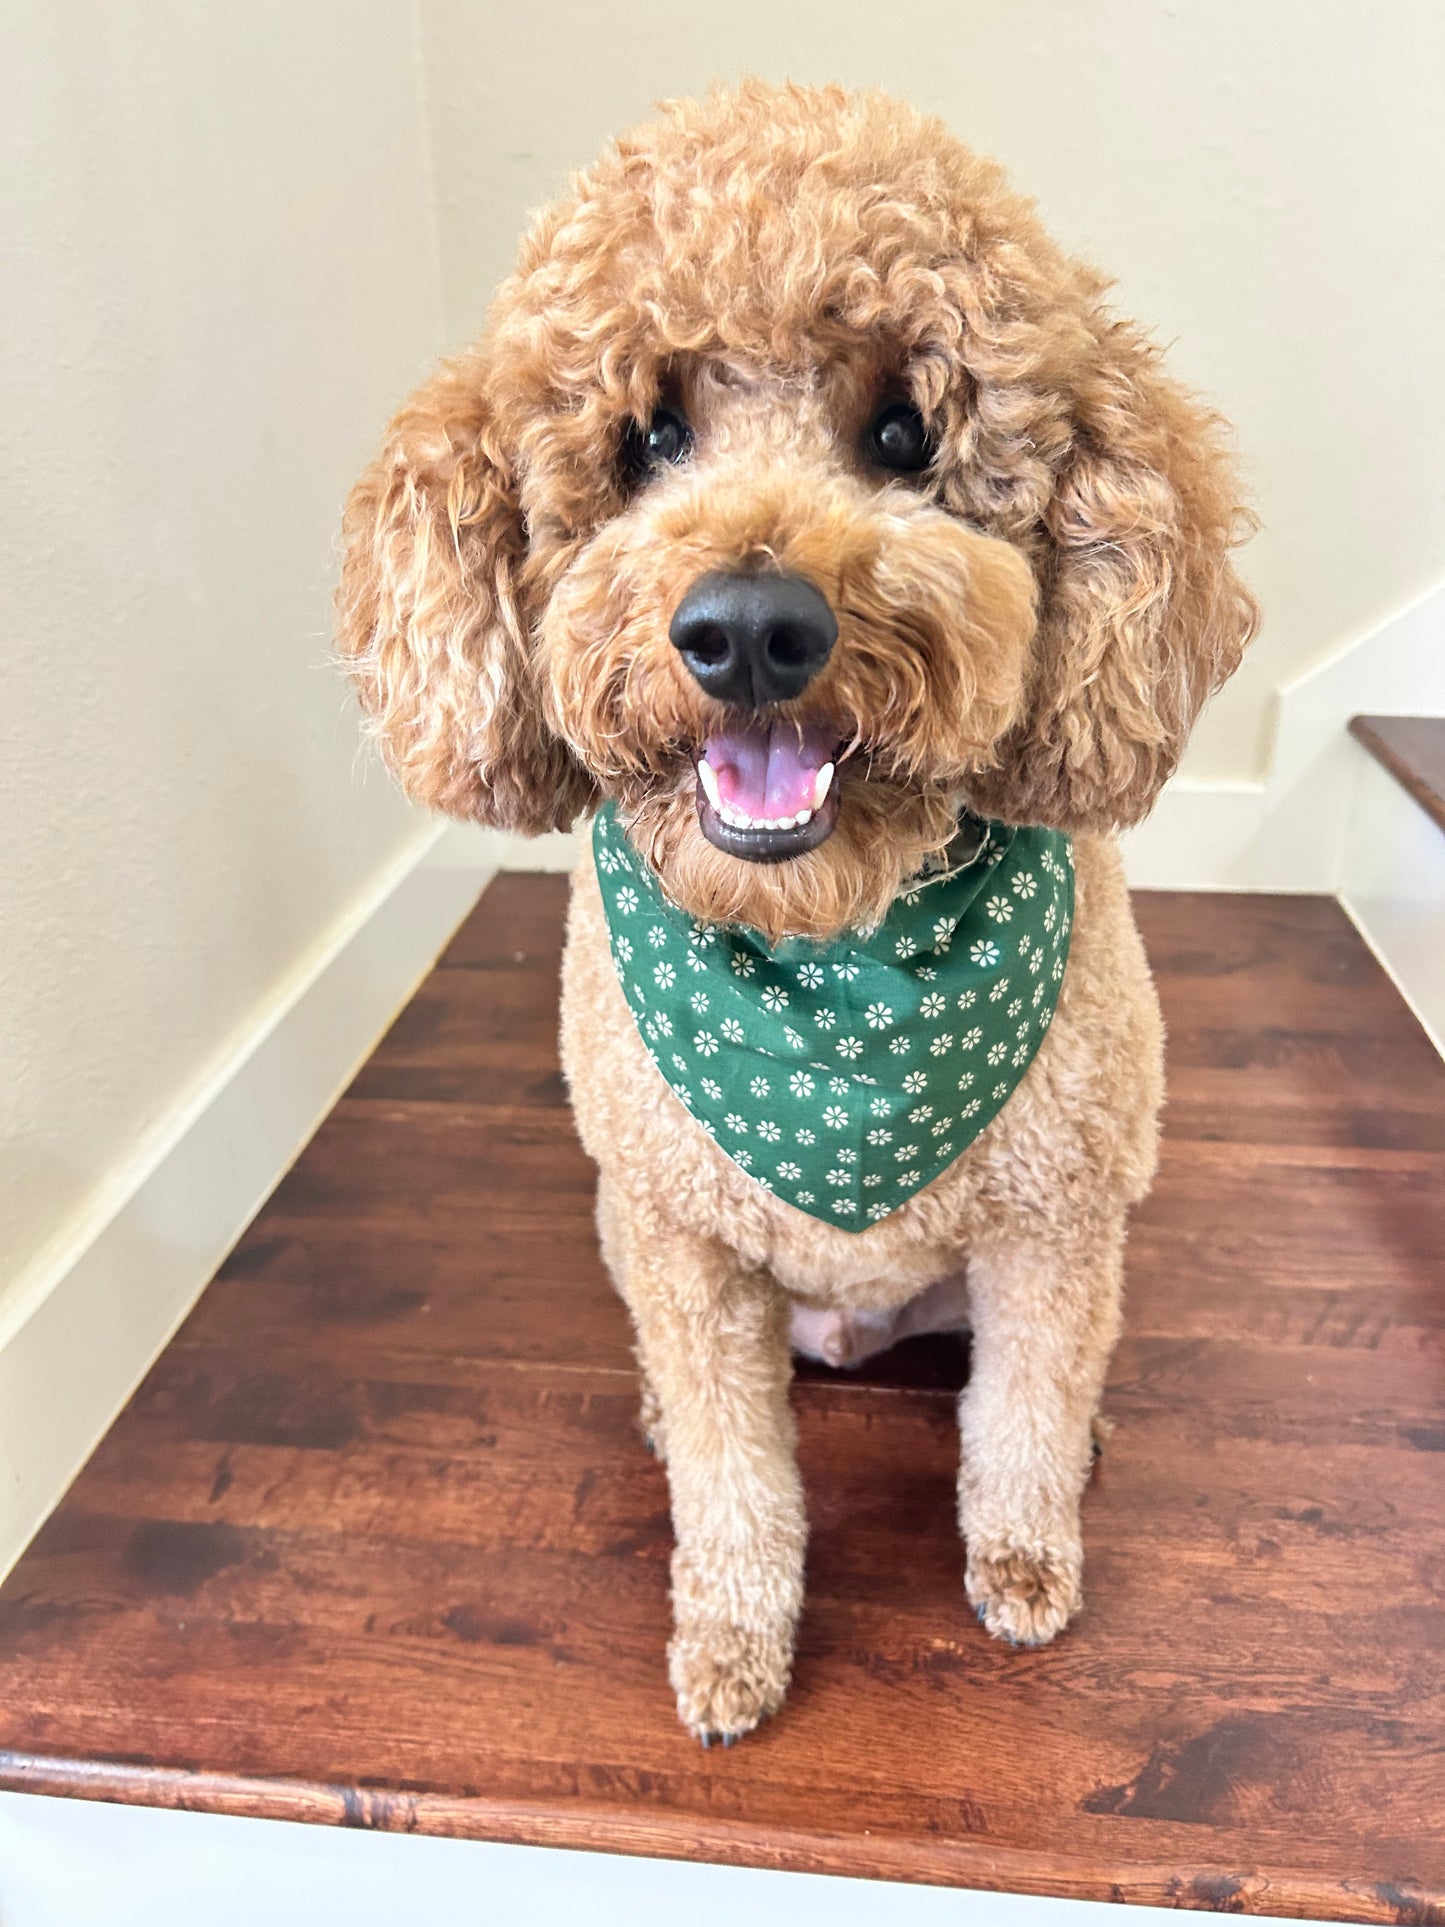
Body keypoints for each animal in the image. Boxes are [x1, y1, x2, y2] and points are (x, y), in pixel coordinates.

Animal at [339, 82, 1256, 1749]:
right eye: (648, 436)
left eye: (904, 432)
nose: (752, 628)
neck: (838, 964)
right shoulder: (685, 1248)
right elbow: (734, 1475)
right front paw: (729, 1638)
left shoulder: (1055, 1219)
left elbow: (1024, 1410)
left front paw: (1025, 1557)